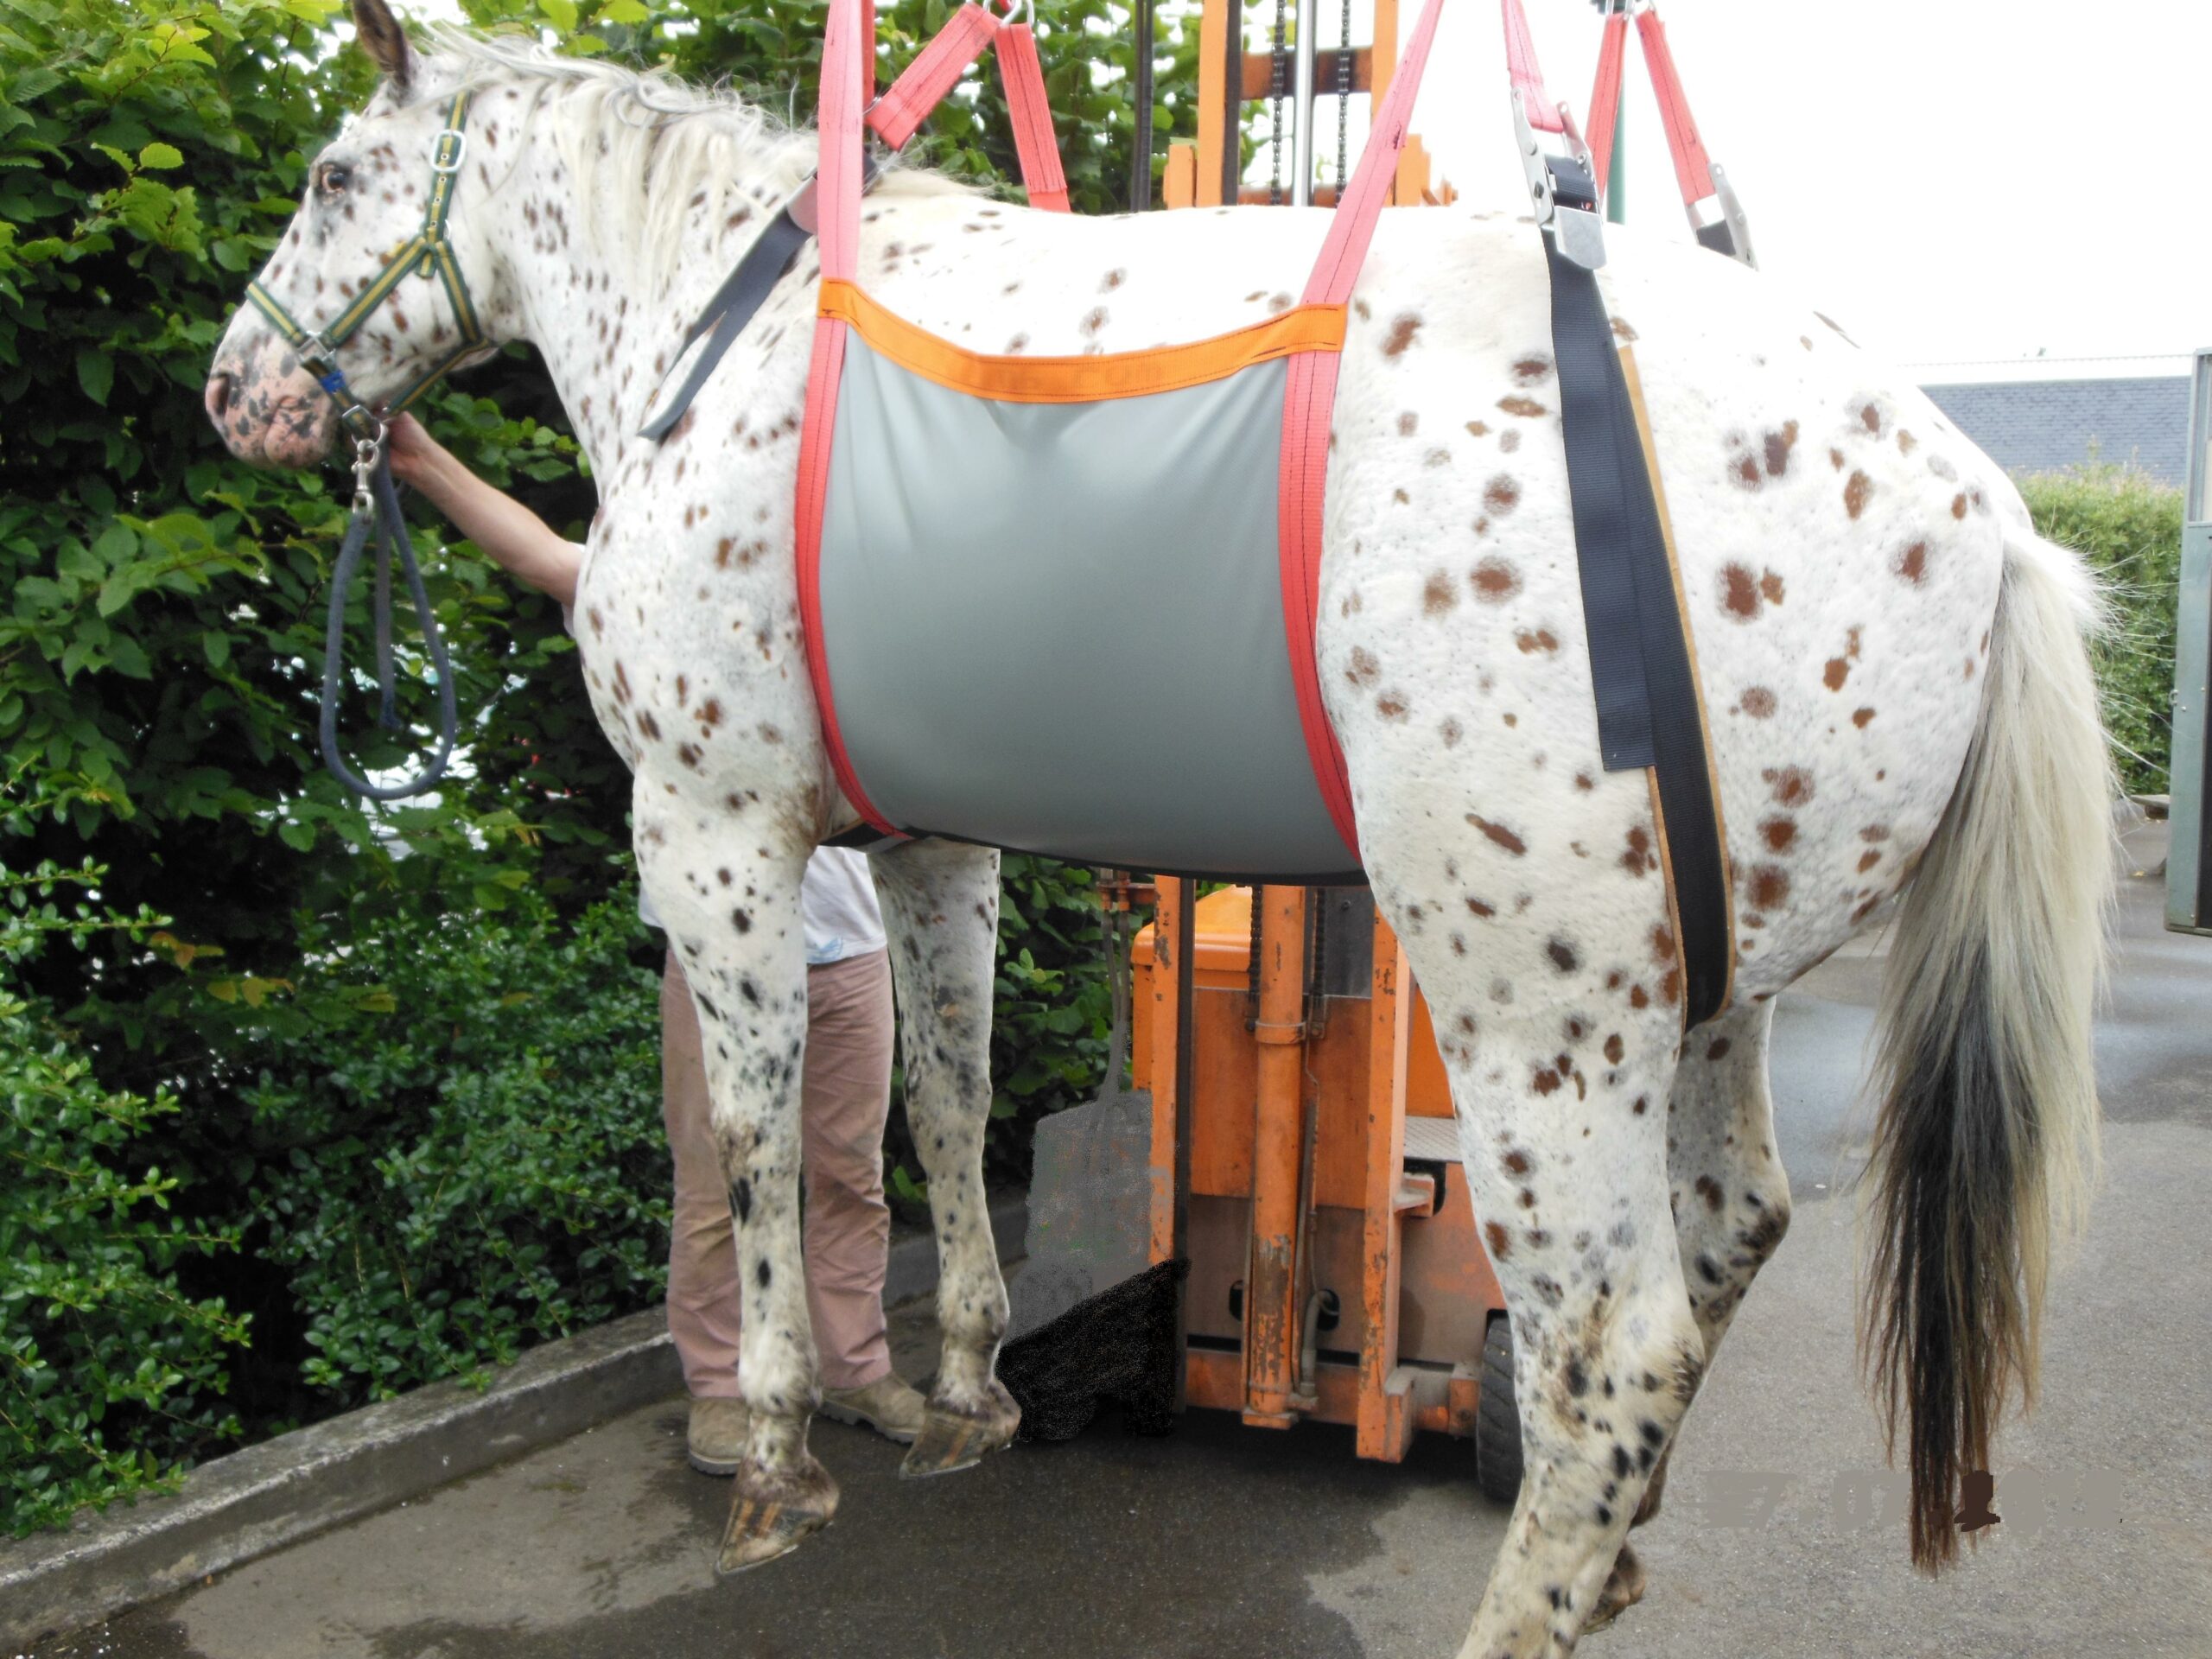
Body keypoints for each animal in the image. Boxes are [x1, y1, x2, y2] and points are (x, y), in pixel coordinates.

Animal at [203, 5, 2112, 1652]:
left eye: (328, 175)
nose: (236, 394)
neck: (718, 325)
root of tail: (1983, 516)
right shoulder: (928, 844)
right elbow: (943, 1102)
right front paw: (962, 1391)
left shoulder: (714, 831)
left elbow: (755, 1145)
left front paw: (776, 1460)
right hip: (1716, 986)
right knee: (1729, 1236)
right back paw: (1616, 1562)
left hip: (1538, 1016)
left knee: (1604, 1345)